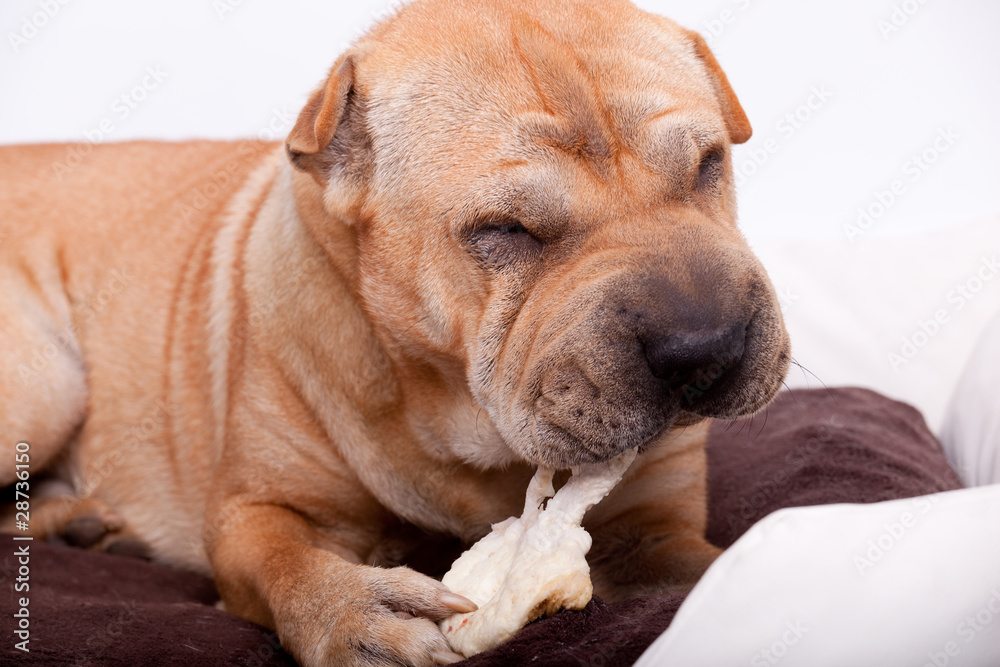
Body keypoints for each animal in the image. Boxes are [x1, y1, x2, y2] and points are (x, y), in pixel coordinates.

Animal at [0, 0, 788, 664]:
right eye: (505, 231)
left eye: (708, 165)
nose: (705, 347)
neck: (459, 420)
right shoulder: (254, 511)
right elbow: (283, 558)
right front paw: (353, 612)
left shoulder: (651, 527)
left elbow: (709, 567)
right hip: (46, 383)